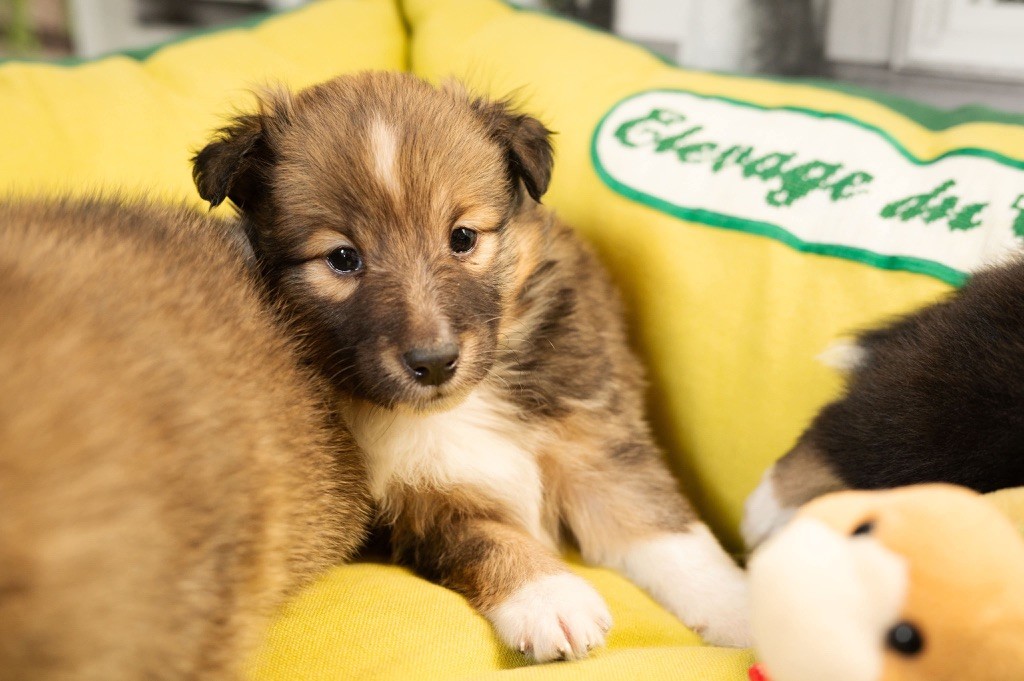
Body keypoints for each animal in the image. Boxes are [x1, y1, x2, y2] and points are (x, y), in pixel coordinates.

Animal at [193, 70, 753, 659]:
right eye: (343, 258)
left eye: (462, 237)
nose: (435, 363)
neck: (467, 403)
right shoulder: (422, 509)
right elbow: (491, 540)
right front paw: (550, 600)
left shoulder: (595, 441)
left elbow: (664, 527)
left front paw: (743, 610)